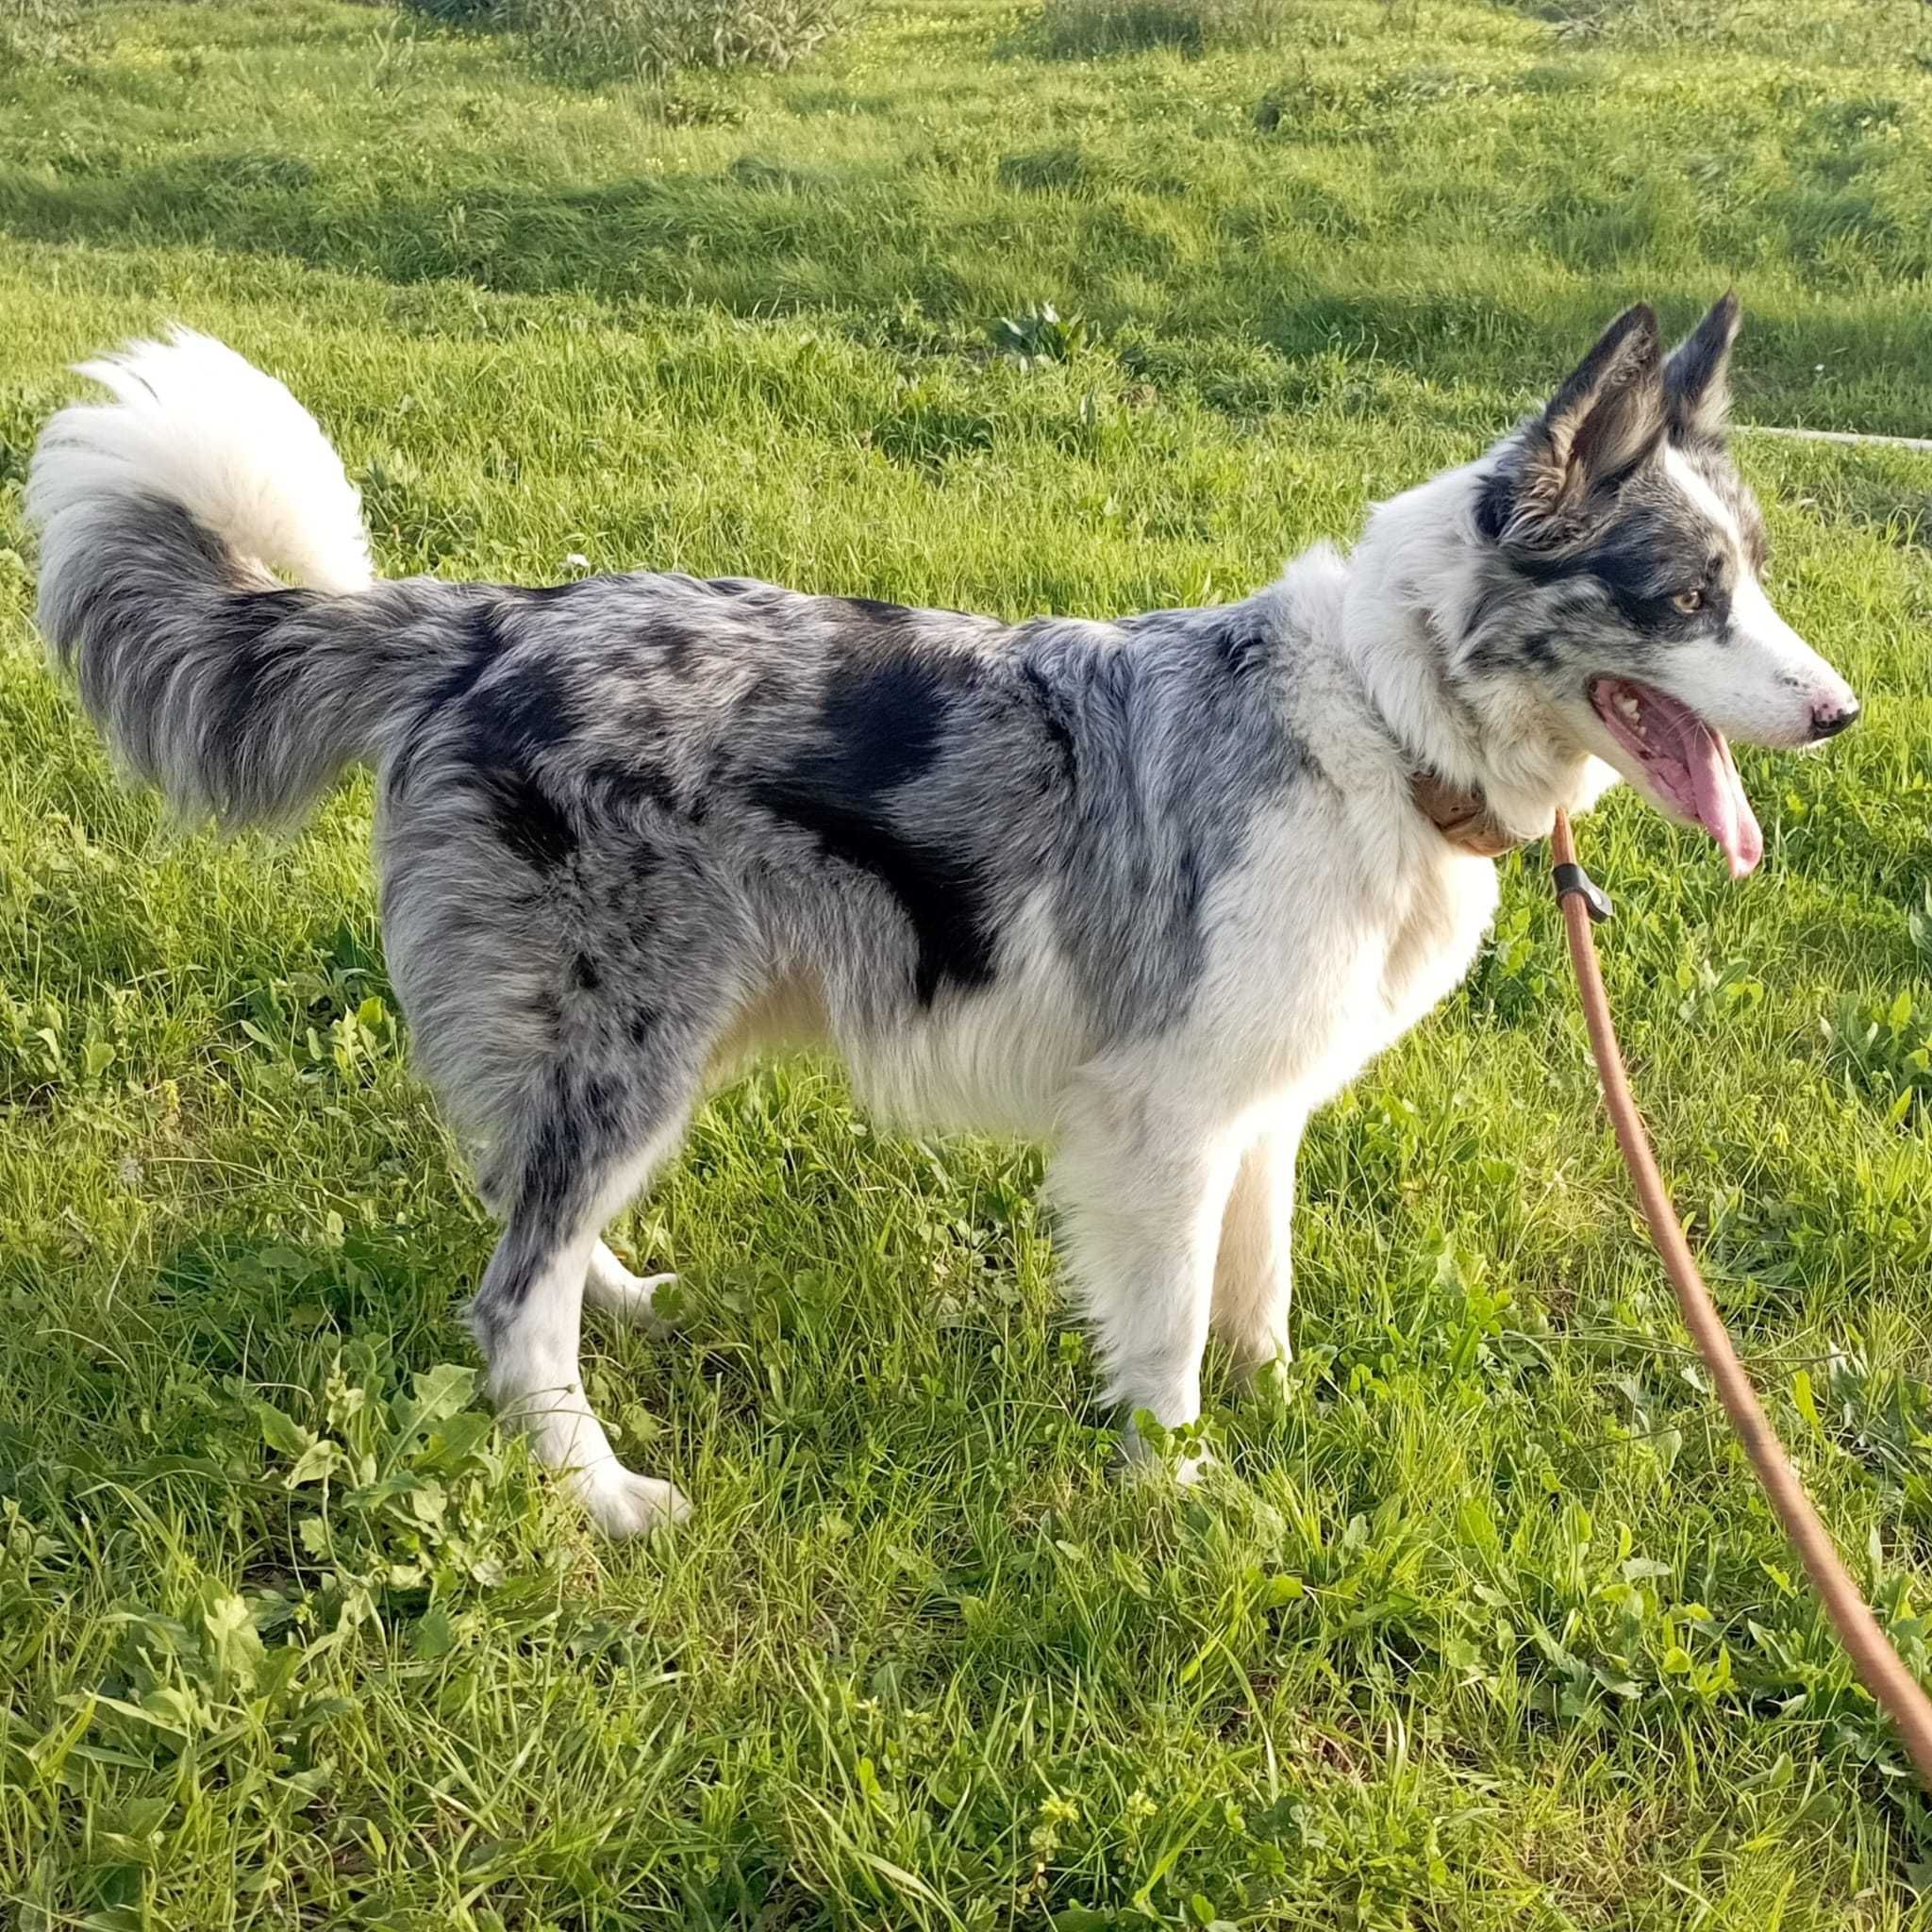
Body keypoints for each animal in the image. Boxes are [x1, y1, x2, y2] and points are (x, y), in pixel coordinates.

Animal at [26, 297, 1855, 1538]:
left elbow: (1257, 1290)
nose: (1841, 714)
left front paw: (1276, 1422)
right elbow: (1169, 1334)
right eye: (1685, 598)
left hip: (629, 1045)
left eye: (1753, 576)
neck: (1385, 719)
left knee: (521, 1202)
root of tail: (487, 622)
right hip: (636, 1040)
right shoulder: (1161, 1120)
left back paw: (616, 1293)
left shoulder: (1258, 1106)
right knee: (505, 1292)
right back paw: (599, 1494)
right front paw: (1181, 1495)